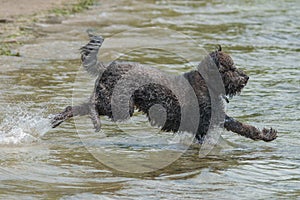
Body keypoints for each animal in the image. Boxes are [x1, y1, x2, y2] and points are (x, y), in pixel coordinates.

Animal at [51, 33, 276, 141]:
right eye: (230, 68)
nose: (246, 77)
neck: (207, 83)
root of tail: (107, 67)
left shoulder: (214, 121)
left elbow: (244, 127)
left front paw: (265, 134)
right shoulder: (207, 122)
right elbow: (240, 126)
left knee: (75, 107)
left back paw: (57, 119)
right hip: (121, 106)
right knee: (89, 106)